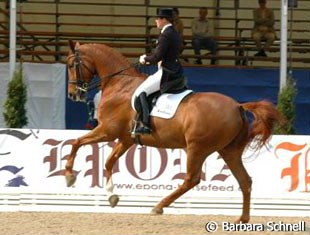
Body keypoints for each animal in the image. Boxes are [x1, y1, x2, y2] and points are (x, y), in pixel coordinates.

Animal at [65, 41, 280, 223]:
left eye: (71, 65)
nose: (73, 95)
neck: (120, 85)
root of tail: (238, 106)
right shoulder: (125, 139)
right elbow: (109, 162)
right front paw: (111, 196)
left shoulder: (107, 131)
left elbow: (76, 142)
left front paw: (69, 176)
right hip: (229, 151)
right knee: (245, 181)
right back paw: (242, 219)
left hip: (197, 148)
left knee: (191, 179)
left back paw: (158, 206)